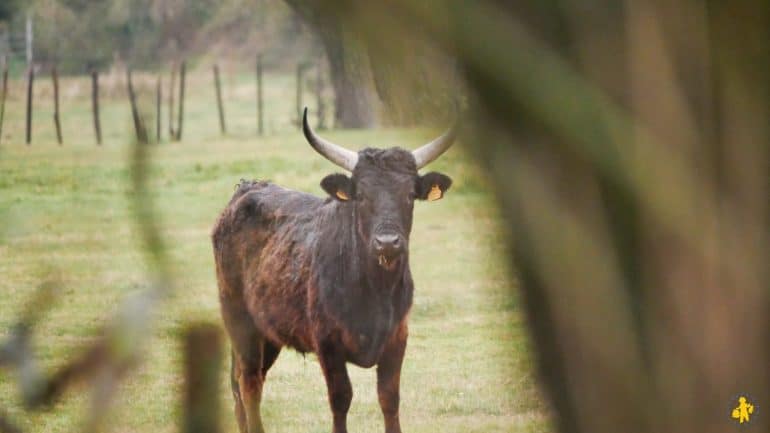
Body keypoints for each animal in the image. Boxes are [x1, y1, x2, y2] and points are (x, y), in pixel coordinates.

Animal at [212, 109, 456, 432]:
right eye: (361, 195)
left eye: (409, 195)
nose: (387, 242)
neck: (375, 289)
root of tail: (247, 188)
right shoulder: (328, 344)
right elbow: (341, 398)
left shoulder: (397, 338)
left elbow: (389, 398)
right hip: (240, 322)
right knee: (250, 382)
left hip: (269, 332)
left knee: (244, 382)